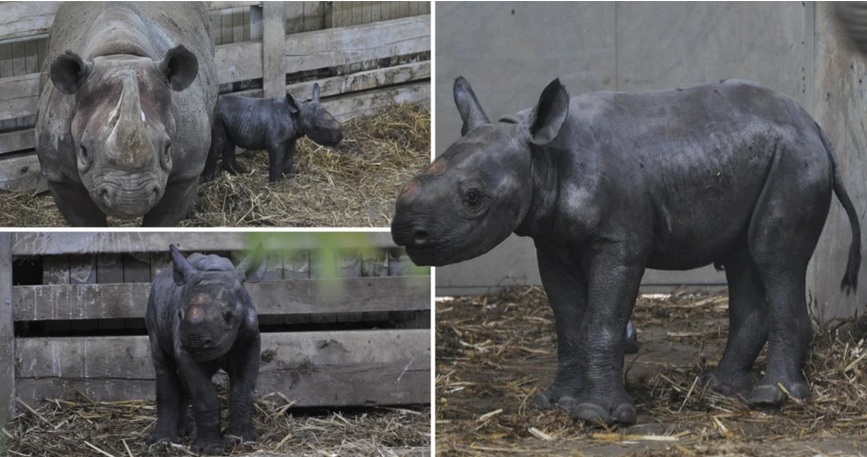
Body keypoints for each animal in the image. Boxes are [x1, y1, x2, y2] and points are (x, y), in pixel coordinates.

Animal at [37, 1, 219, 226]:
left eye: (168, 148)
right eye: (84, 150)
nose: (130, 199)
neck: (120, 55)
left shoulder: (186, 172)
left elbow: (161, 220)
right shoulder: (60, 176)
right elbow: (87, 222)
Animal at [145, 244, 264, 450]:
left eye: (228, 316)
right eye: (179, 314)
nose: (196, 341)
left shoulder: (250, 340)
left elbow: (243, 389)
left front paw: (240, 440)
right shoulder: (184, 348)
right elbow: (203, 395)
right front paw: (209, 449)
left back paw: (183, 432)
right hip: (152, 303)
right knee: (163, 365)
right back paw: (164, 441)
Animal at [203, 82, 342, 182]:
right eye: (317, 127)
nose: (339, 137)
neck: (296, 114)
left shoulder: (291, 139)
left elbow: (289, 158)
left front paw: (291, 176)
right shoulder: (276, 143)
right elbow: (277, 162)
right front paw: (274, 184)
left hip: (228, 117)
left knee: (229, 142)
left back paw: (239, 172)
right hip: (216, 116)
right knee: (219, 143)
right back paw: (208, 181)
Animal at [392, 75, 860, 424]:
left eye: (473, 198)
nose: (405, 232)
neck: (540, 157)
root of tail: (817, 129)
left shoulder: (618, 242)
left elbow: (601, 321)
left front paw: (597, 415)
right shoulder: (552, 243)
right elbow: (568, 323)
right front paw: (555, 402)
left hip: (795, 161)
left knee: (772, 257)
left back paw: (772, 398)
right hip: (763, 158)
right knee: (743, 258)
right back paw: (719, 387)